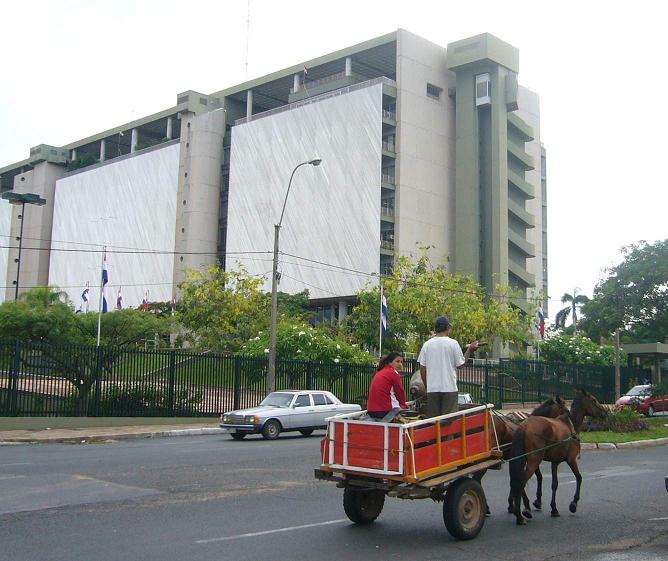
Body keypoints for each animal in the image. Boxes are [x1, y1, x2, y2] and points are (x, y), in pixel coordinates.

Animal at [508, 388, 608, 524]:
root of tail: (524, 426)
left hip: (524, 460)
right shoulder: (571, 460)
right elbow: (579, 478)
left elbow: (554, 484)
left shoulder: (555, 463)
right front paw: (573, 504)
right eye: (594, 400)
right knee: (521, 482)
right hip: (534, 460)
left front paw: (554, 509)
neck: (571, 425)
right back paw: (520, 515)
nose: (605, 412)